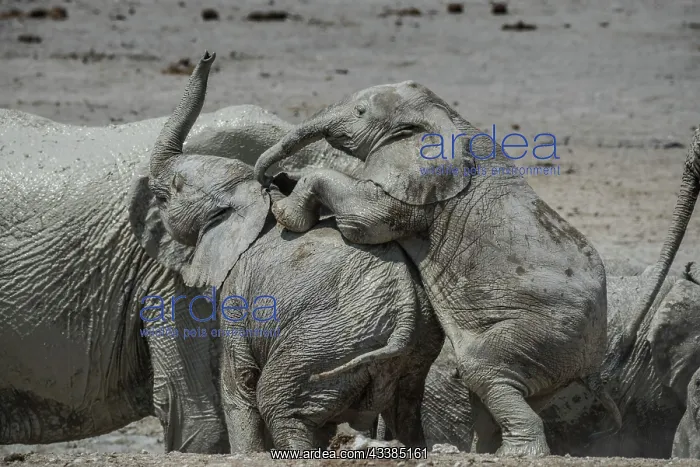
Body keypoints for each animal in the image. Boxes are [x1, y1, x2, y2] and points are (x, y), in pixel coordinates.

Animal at [129, 51, 444, 452]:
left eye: (174, 189)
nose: (208, 54)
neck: (254, 202)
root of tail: (405, 311)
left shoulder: (237, 295)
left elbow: (239, 384)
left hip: (323, 340)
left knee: (279, 404)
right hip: (411, 349)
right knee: (405, 408)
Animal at [252, 80, 623, 456]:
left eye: (360, 111)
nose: (267, 177)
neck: (445, 115)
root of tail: (592, 362)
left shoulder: (417, 188)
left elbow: (363, 221)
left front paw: (285, 213)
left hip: (546, 332)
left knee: (482, 369)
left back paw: (514, 454)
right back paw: (483, 451)